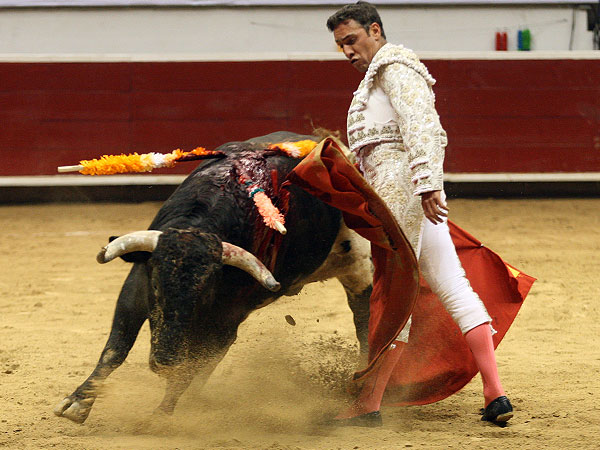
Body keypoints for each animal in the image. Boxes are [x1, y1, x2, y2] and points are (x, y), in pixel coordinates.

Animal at [53, 131, 373, 424]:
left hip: (360, 269)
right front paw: (78, 403)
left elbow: (189, 369)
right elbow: (115, 348)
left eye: (207, 291)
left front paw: (160, 416)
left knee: (364, 321)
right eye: (156, 283)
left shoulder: (226, 322)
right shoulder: (135, 288)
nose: (165, 361)